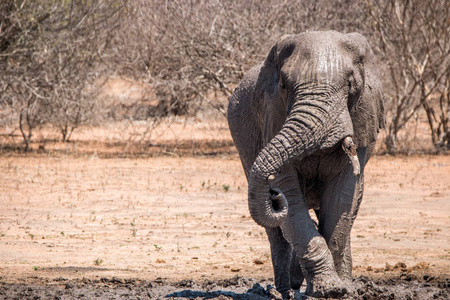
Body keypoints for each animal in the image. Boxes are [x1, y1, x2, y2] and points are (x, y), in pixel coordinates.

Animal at [227, 30, 384, 298]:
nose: (273, 195)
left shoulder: (364, 117)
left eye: (350, 85)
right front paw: (327, 288)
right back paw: (283, 291)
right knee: (276, 231)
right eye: (284, 86)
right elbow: (290, 193)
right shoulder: (272, 115)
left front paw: (338, 290)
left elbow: (343, 196)